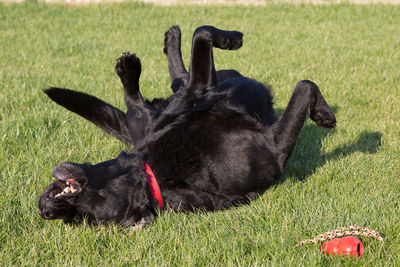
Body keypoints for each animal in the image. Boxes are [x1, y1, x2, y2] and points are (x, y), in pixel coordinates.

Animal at [39, 26, 336, 229]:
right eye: (78, 216)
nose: (45, 210)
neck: (157, 174)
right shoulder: (274, 147)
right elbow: (304, 86)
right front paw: (324, 114)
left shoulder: (198, 90)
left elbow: (201, 34)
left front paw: (231, 38)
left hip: (165, 110)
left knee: (174, 81)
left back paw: (155, 50)